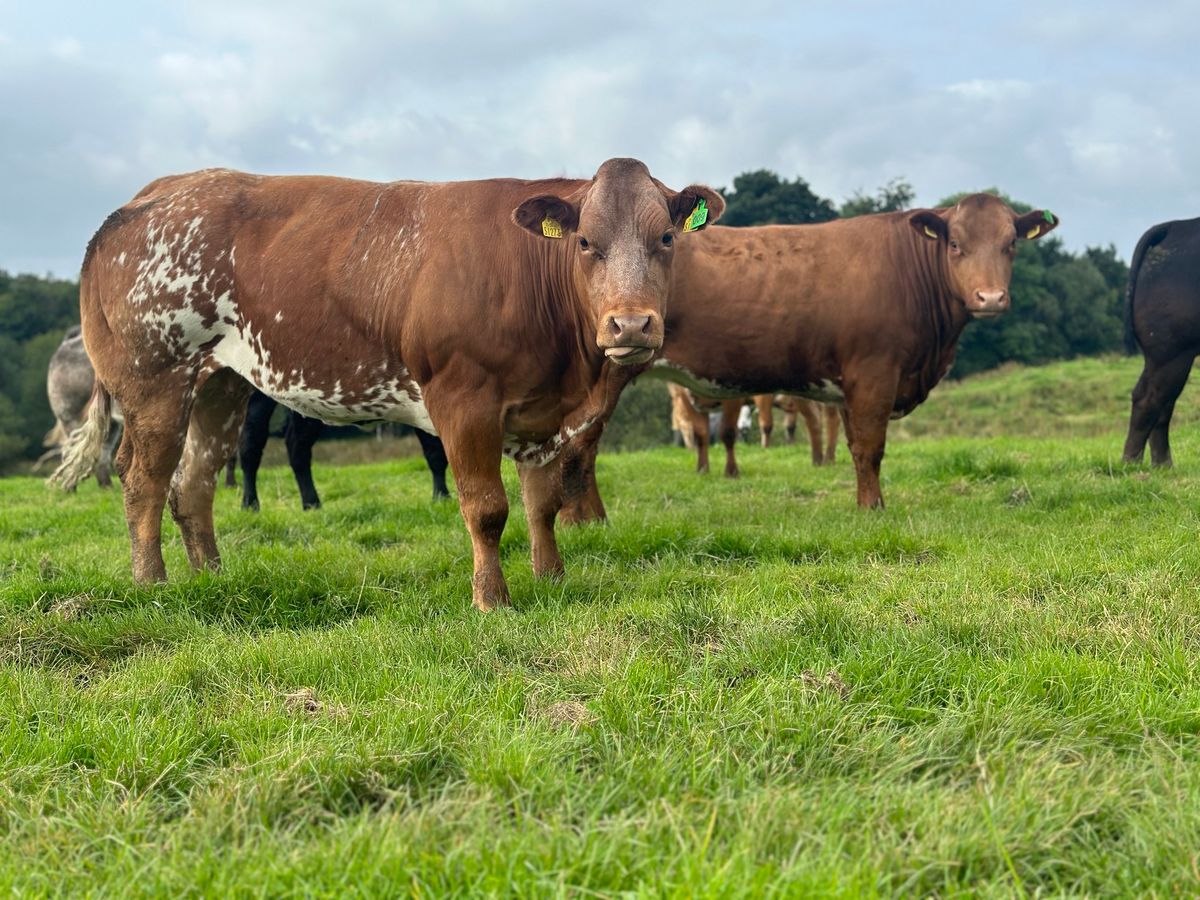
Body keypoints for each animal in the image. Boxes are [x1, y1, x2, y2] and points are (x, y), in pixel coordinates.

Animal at [54, 162, 720, 614]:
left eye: (666, 238)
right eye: (585, 242)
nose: (631, 324)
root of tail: (155, 191)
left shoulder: (544, 415)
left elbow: (542, 503)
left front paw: (551, 578)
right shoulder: (462, 401)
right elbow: (486, 508)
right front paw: (492, 599)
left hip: (220, 387)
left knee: (193, 483)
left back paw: (212, 577)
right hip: (156, 382)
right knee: (143, 479)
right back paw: (152, 583)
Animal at [561, 194, 1060, 518]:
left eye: (1011, 244)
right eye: (955, 244)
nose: (990, 297)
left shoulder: (850, 387)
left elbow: (851, 445)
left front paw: (863, 502)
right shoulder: (875, 373)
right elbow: (870, 448)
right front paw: (873, 508)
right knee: (581, 447)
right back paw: (586, 519)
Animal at [1123, 218, 1200, 468]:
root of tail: (1175, 226)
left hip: (1163, 357)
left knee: (1162, 404)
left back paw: (1162, 466)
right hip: (1172, 353)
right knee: (1149, 399)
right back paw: (1133, 463)